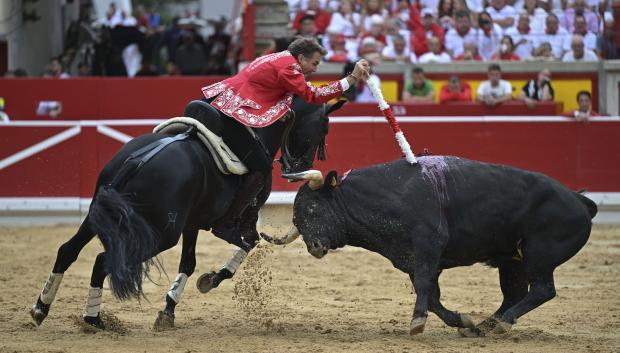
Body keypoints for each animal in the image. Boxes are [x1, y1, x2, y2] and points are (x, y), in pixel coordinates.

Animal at [29, 97, 344, 328]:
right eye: (324, 128)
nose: (299, 166)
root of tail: (137, 160)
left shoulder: (192, 223)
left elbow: (189, 263)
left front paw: (168, 310)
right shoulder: (244, 218)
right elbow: (248, 243)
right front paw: (211, 280)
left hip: (98, 216)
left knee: (67, 250)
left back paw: (41, 308)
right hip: (160, 233)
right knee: (103, 260)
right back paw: (92, 319)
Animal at [266, 156, 596, 336]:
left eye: (312, 209)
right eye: (296, 217)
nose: (314, 246)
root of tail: (579, 200)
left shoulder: (427, 247)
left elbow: (425, 287)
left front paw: (416, 322)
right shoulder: (413, 259)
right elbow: (433, 297)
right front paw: (461, 320)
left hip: (539, 255)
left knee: (543, 289)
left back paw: (501, 324)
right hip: (511, 261)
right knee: (515, 294)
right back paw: (486, 326)